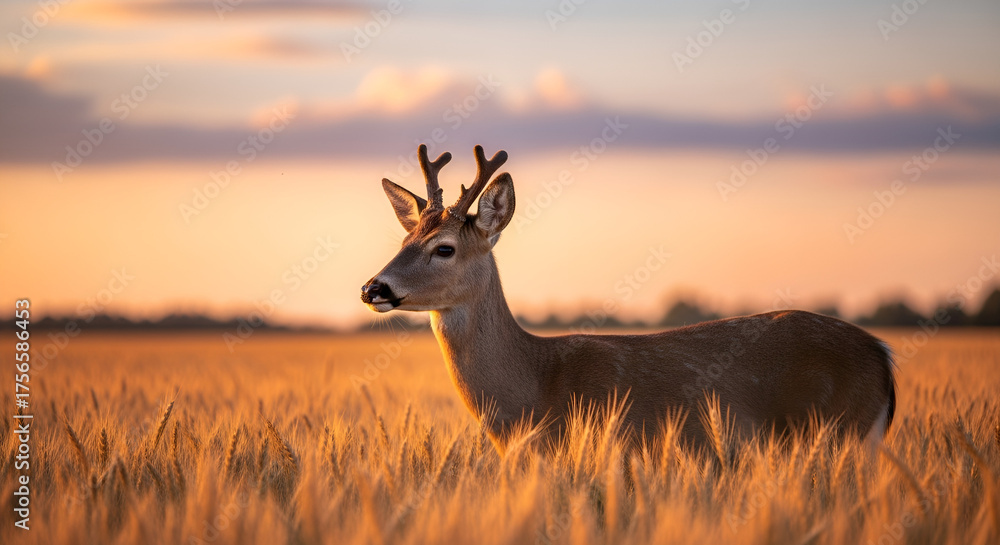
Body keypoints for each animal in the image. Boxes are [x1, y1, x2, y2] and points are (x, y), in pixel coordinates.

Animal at [361, 144, 897, 454]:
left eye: (444, 248)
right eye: (404, 240)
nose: (373, 288)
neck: (536, 386)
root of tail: (882, 355)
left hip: (840, 436)